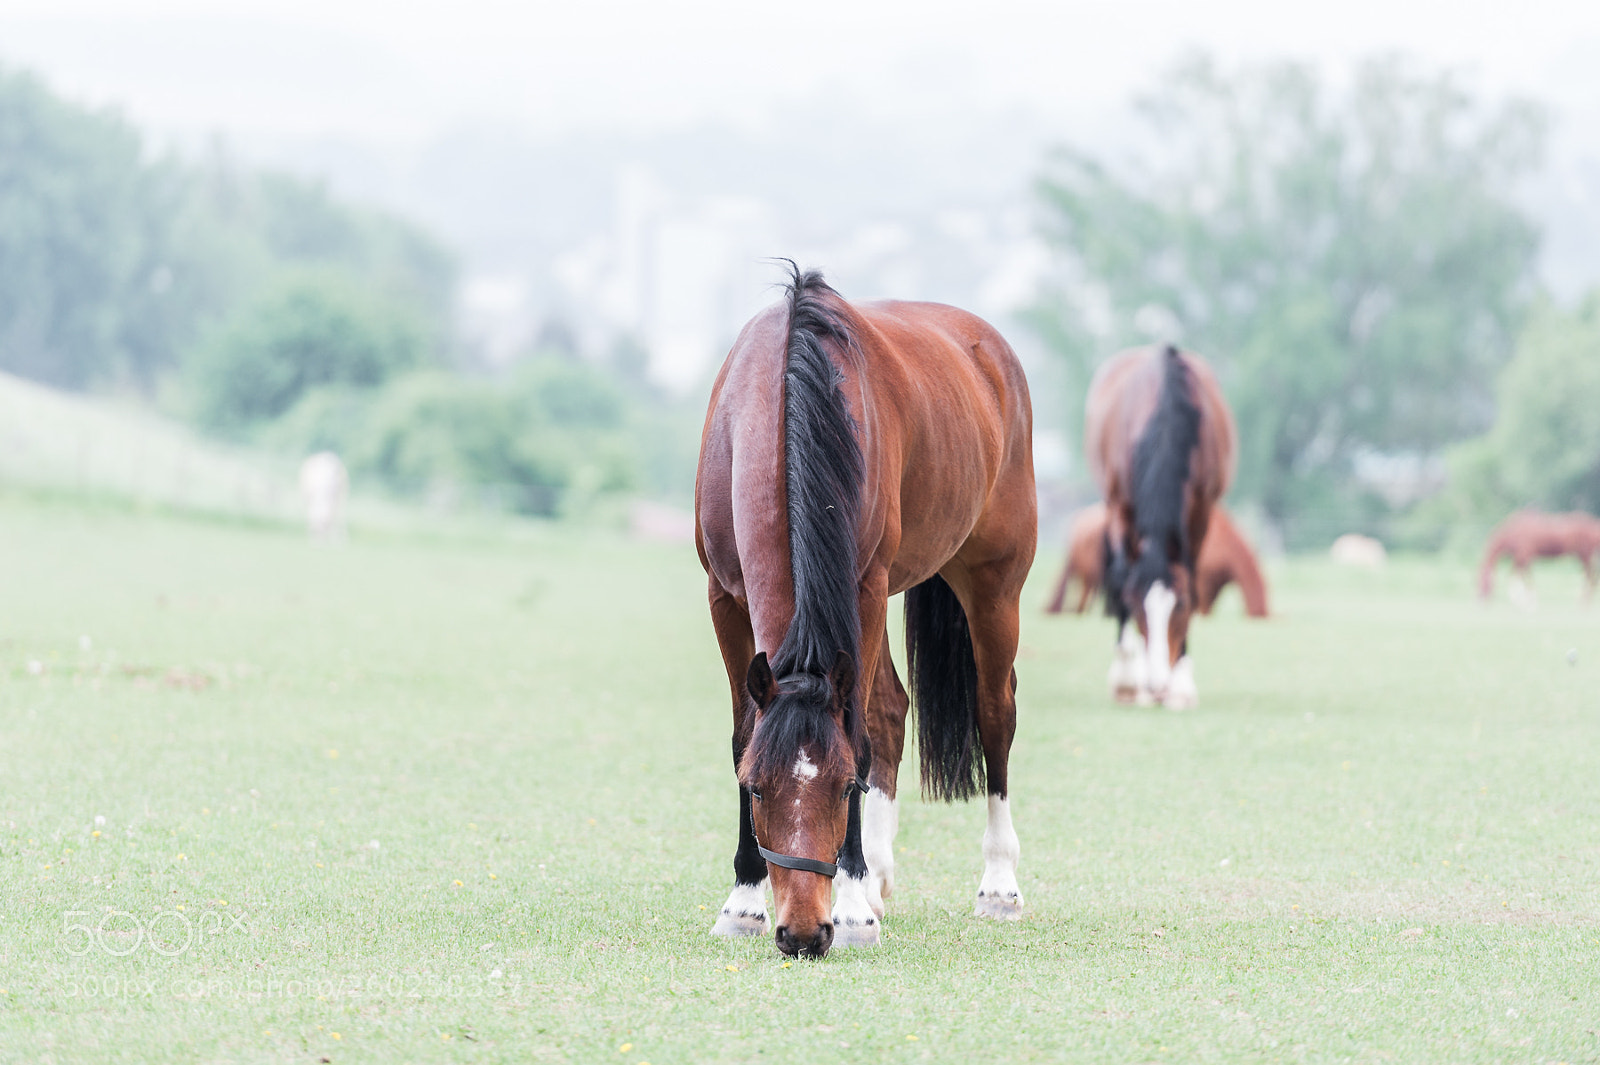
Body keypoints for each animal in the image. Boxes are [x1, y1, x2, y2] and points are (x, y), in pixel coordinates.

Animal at [695, 267, 1036, 959]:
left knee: (995, 714)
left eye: (843, 787)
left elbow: (857, 736)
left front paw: (851, 908)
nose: (804, 933)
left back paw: (998, 884)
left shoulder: (867, 586)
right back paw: (876, 876)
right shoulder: (722, 596)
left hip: (993, 585)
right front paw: (743, 900)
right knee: (892, 710)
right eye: (758, 787)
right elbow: (747, 732)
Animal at [1085, 344, 1235, 709]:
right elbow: (1122, 577)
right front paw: (1128, 681)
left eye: (1179, 606)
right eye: (1137, 604)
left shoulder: (1201, 513)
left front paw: (1180, 683)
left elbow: (1192, 577)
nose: (1157, 686)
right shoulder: (1122, 508)